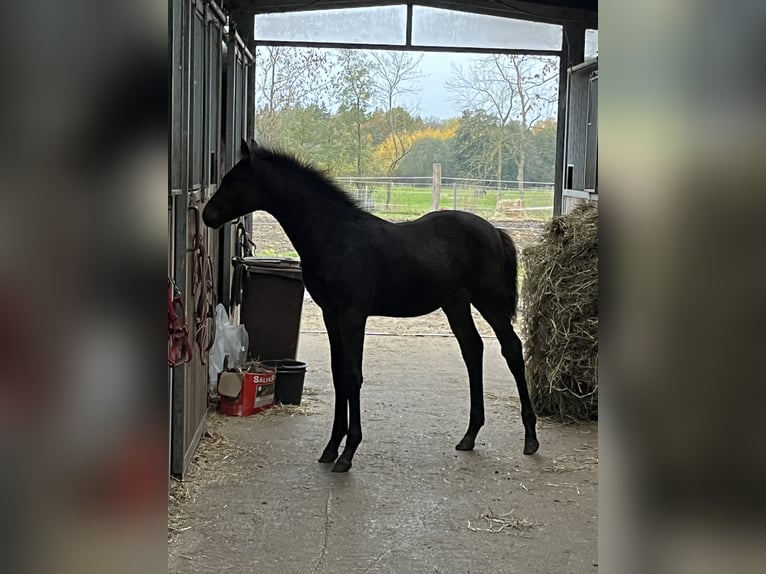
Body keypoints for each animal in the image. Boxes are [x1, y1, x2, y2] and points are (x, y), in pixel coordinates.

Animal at [203, 140, 539, 472]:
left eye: (234, 181)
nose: (207, 215)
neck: (336, 237)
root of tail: (495, 231)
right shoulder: (331, 315)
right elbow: (339, 375)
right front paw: (331, 448)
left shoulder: (354, 316)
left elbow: (353, 375)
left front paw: (348, 452)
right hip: (456, 304)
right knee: (472, 349)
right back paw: (469, 435)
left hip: (490, 301)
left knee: (511, 349)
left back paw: (531, 438)